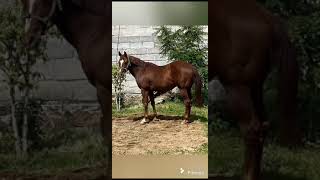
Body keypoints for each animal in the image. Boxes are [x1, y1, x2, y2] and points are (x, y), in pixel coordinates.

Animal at [20, 0, 112, 176]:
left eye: (43, 1)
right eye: (25, 3)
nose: (29, 38)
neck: (95, 33)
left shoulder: (103, 88)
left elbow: (107, 130)